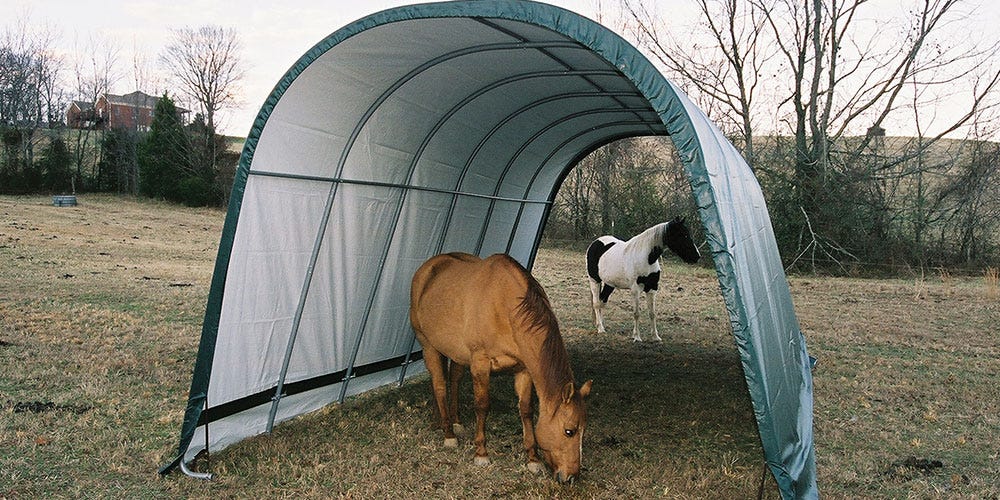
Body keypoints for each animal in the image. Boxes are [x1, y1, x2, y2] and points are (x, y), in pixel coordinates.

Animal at [408, 252, 592, 482]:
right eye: (569, 431)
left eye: (584, 431)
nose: (572, 477)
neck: (505, 307)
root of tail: (427, 268)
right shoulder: (480, 365)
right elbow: (482, 406)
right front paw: (481, 453)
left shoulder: (523, 370)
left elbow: (526, 410)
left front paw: (532, 459)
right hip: (428, 345)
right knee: (440, 385)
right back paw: (448, 434)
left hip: (456, 353)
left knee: (454, 380)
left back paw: (453, 422)